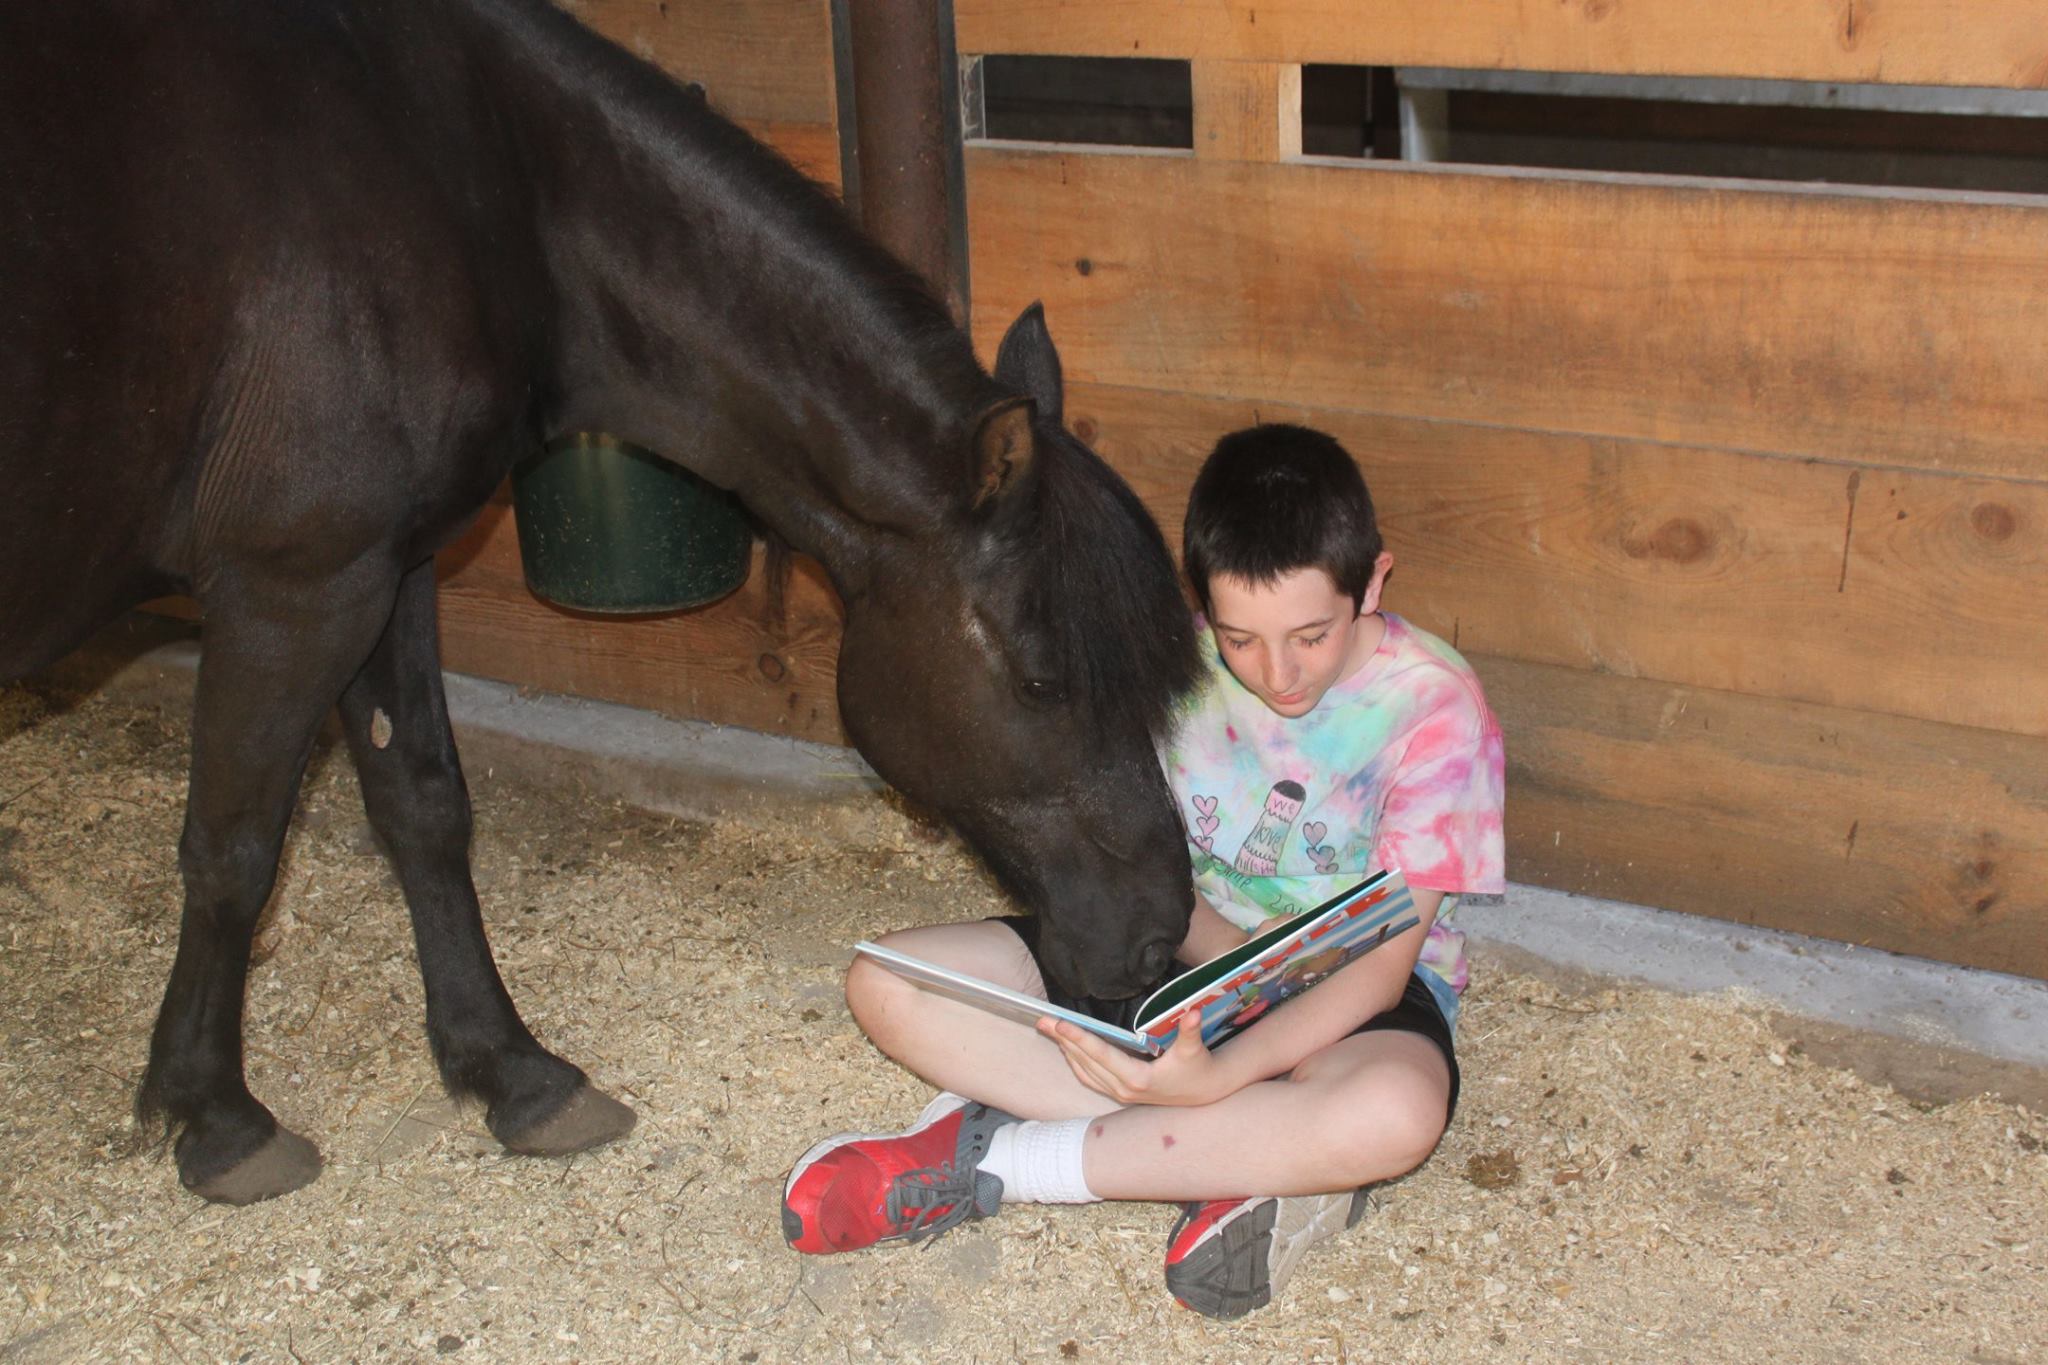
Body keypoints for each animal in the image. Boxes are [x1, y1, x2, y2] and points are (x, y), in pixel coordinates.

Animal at [0, 0, 1196, 1203]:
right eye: (1040, 680)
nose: (1160, 934)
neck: (473, 182)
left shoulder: (387, 570)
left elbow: (422, 804)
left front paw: (513, 1073)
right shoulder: (293, 590)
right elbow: (233, 849)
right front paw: (213, 1113)